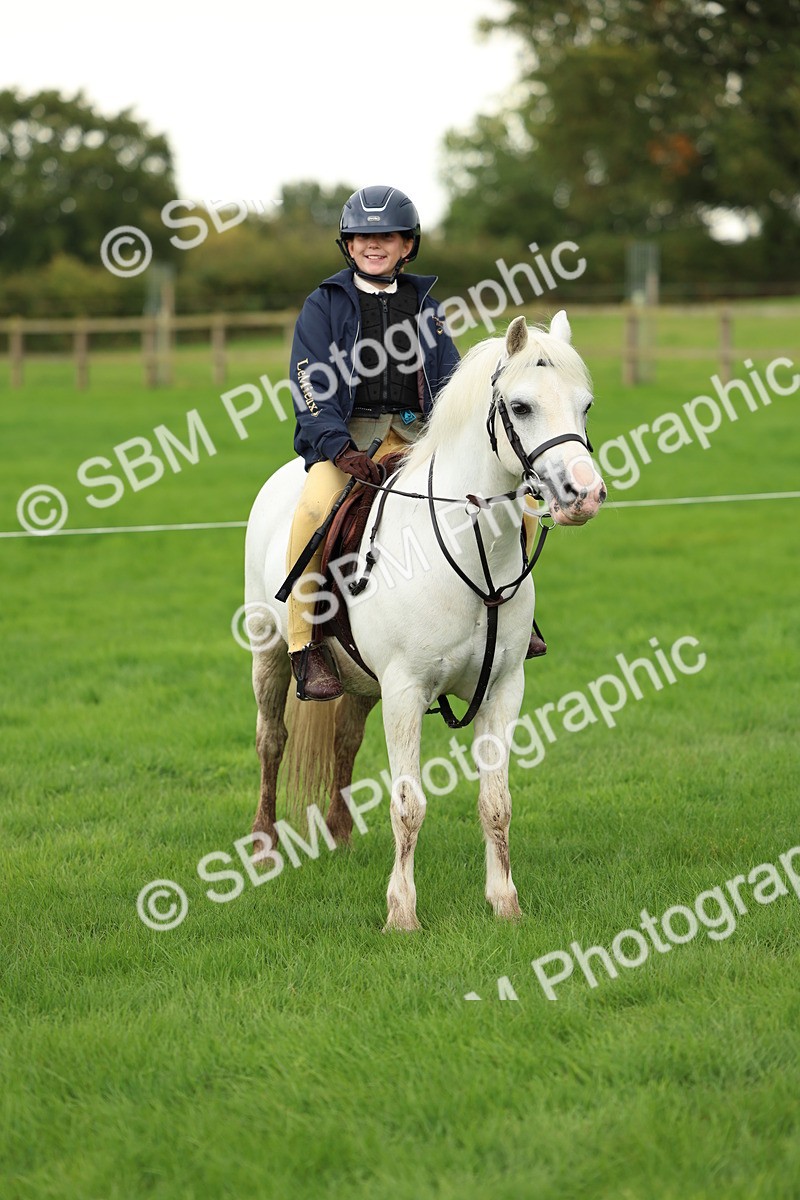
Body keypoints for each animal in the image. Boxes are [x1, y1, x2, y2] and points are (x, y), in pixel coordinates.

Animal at [243, 311, 606, 931]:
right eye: (522, 406)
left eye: (584, 405)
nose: (583, 495)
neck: (468, 551)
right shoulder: (407, 691)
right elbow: (408, 805)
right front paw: (402, 914)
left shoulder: (502, 690)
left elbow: (496, 803)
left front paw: (505, 903)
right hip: (269, 654)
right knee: (273, 740)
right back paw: (265, 844)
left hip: (363, 683)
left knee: (344, 738)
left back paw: (340, 835)